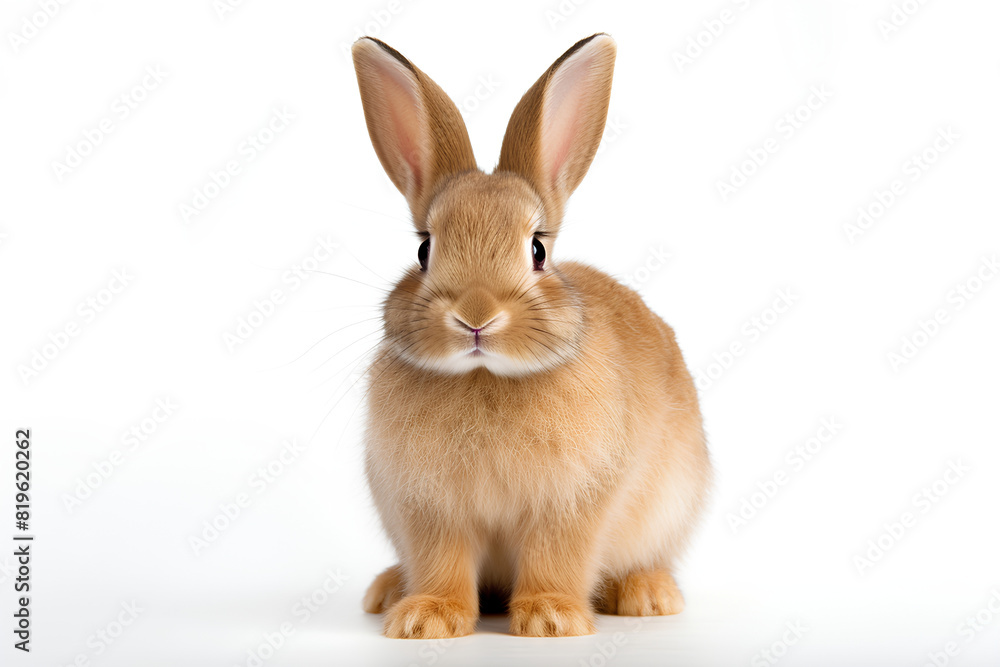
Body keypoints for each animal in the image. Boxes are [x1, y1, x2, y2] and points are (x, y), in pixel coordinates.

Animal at [352, 34, 712, 640]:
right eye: (424, 249)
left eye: (538, 249)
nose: (476, 316)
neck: (484, 377)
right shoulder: (428, 507)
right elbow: (442, 561)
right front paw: (427, 619)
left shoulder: (573, 501)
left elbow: (556, 554)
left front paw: (550, 618)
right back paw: (386, 591)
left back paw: (647, 595)